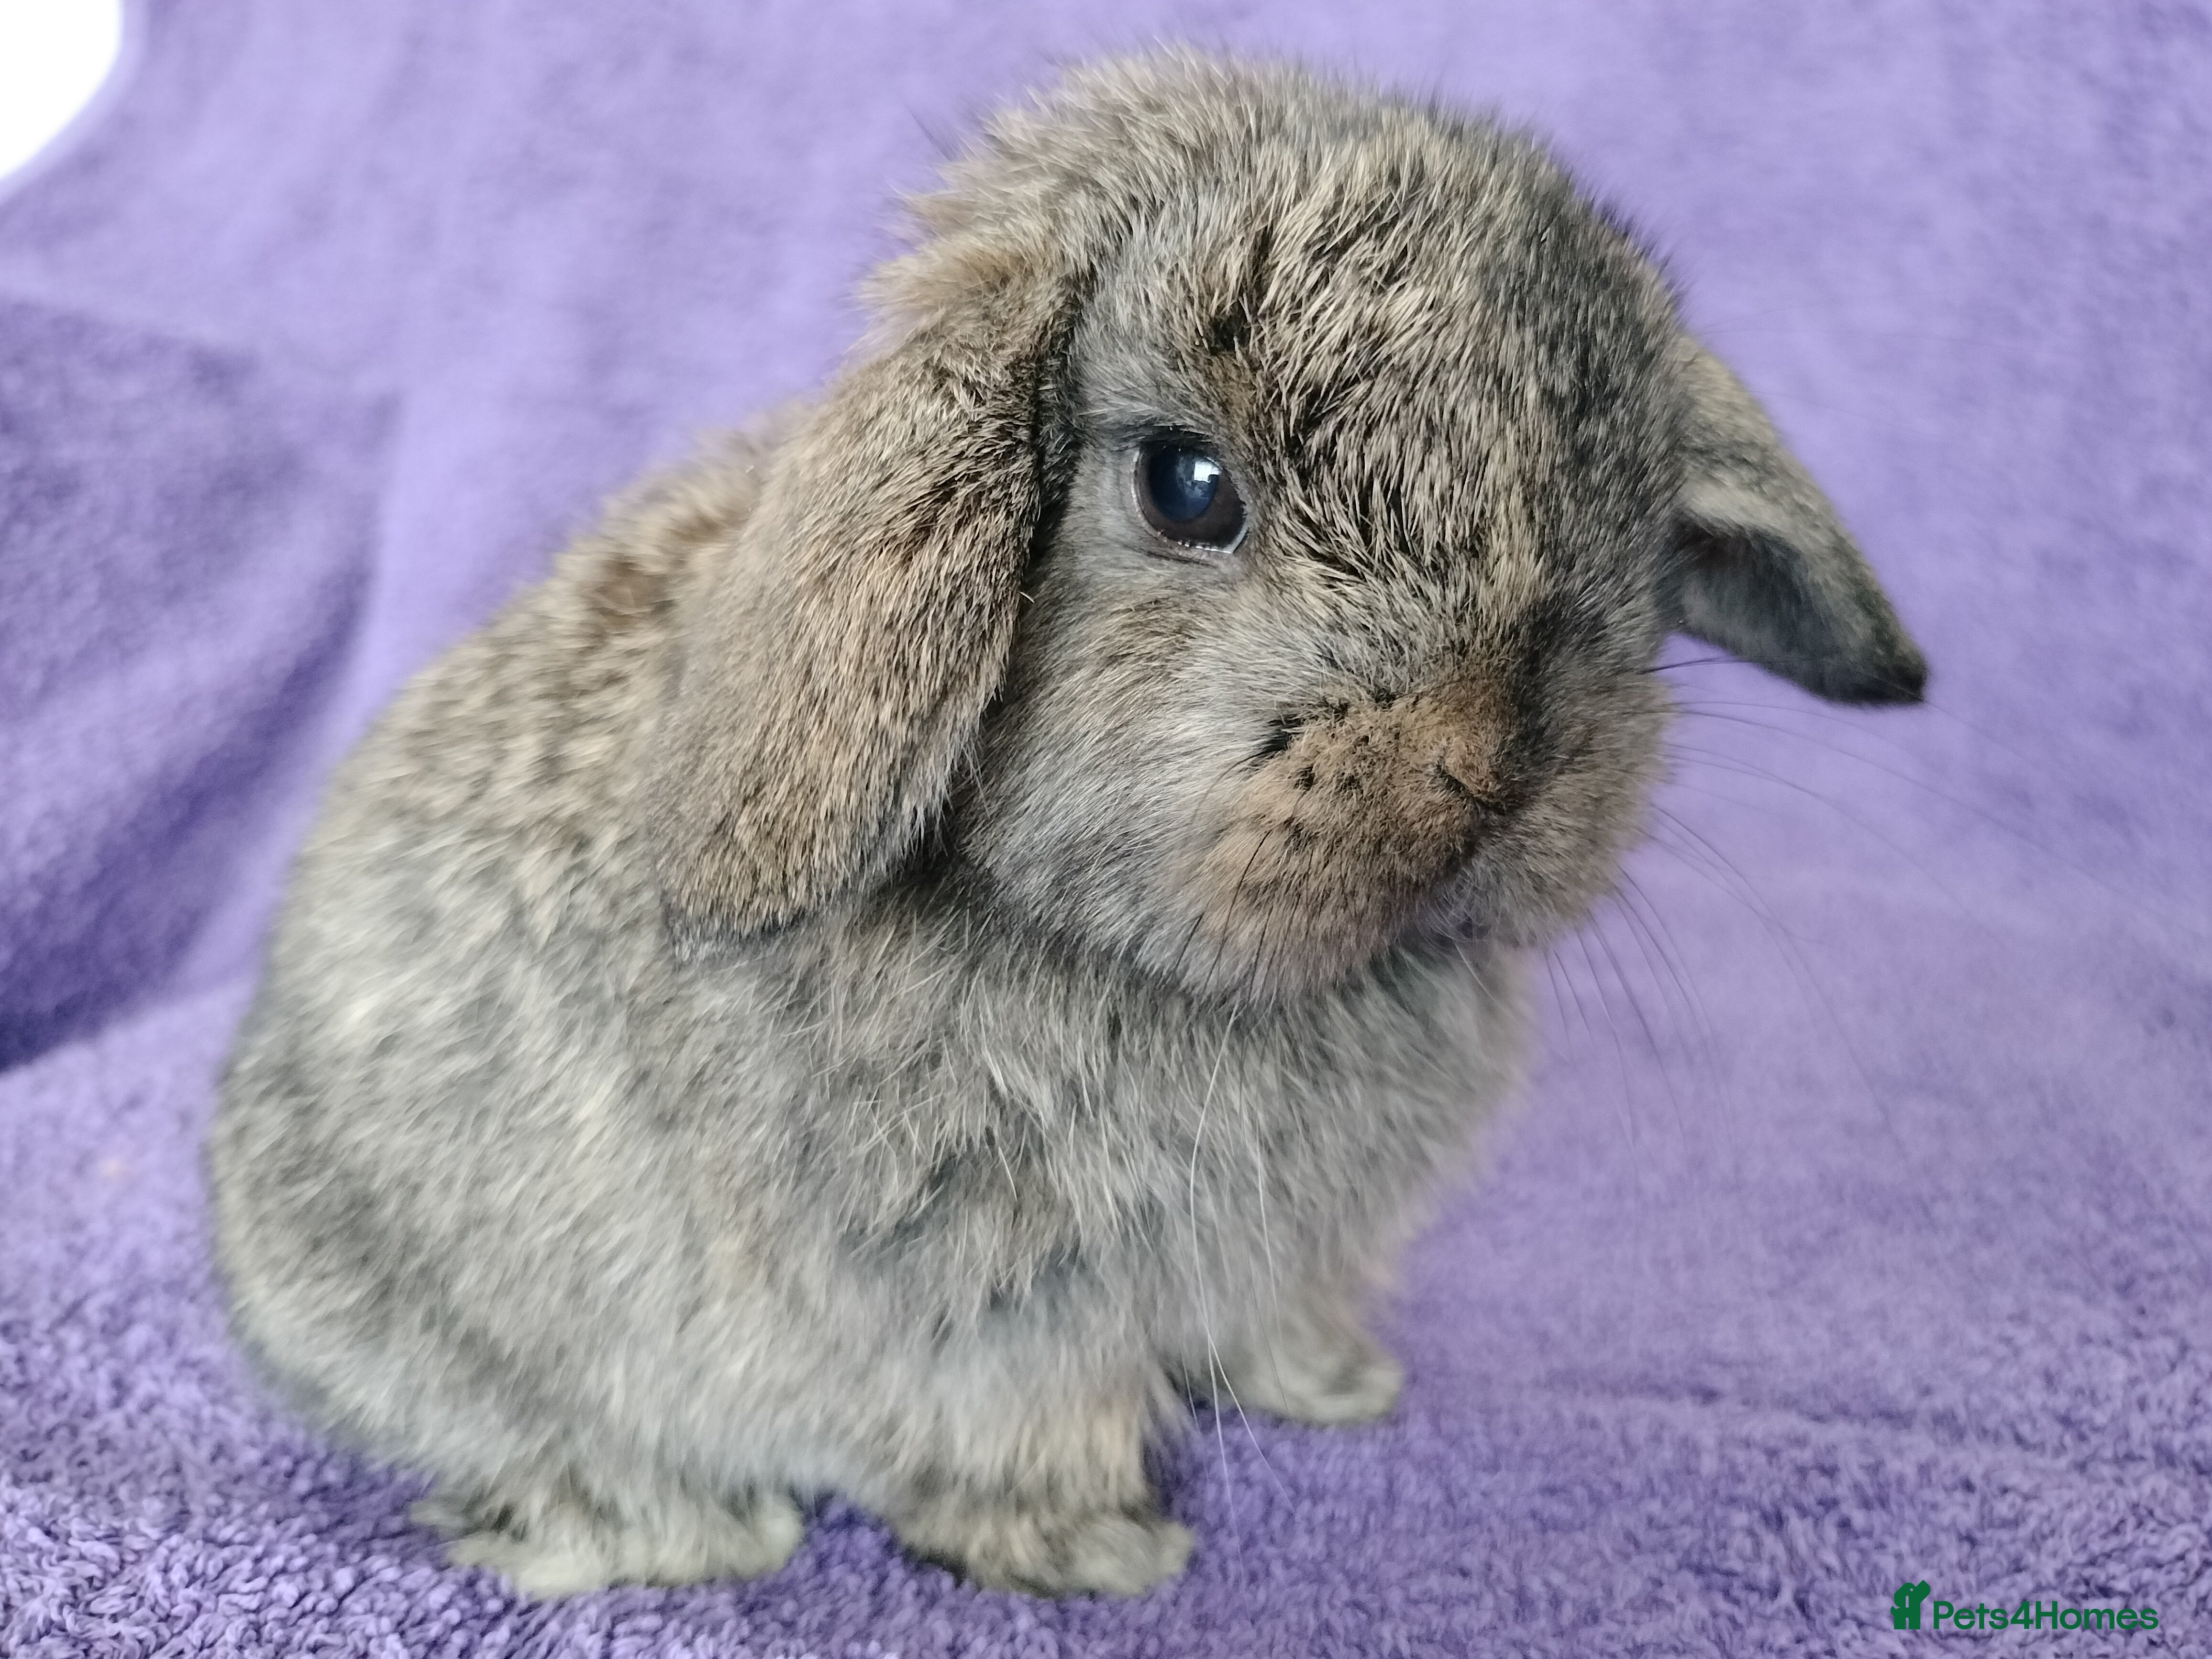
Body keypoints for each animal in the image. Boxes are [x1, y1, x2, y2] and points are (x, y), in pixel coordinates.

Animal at [209, 50, 1926, 1601]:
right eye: (1186, 485)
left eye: (1617, 516)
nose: (1494, 760)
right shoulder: (983, 1314)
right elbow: (1019, 1425)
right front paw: (1103, 1548)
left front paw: (1333, 1385)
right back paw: (678, 1528)